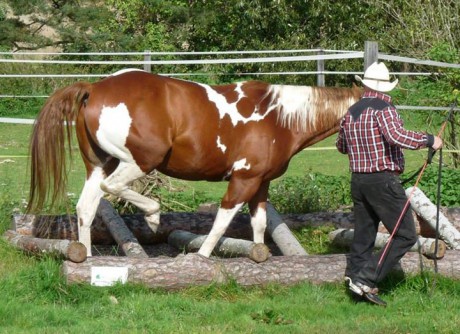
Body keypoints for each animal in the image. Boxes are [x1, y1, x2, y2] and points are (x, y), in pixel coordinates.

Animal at [27, 70, 362, 258]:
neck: (279, 117)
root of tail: (94, 88)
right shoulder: (243, 179)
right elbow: (222, 222)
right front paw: (200, 257)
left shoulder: (261, 182)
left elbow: (259, 224)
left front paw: (259, 254)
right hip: (140, 160)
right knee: (112, 187)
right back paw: (152, 216)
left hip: (100, 164)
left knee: (86, 207)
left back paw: (86, 257)